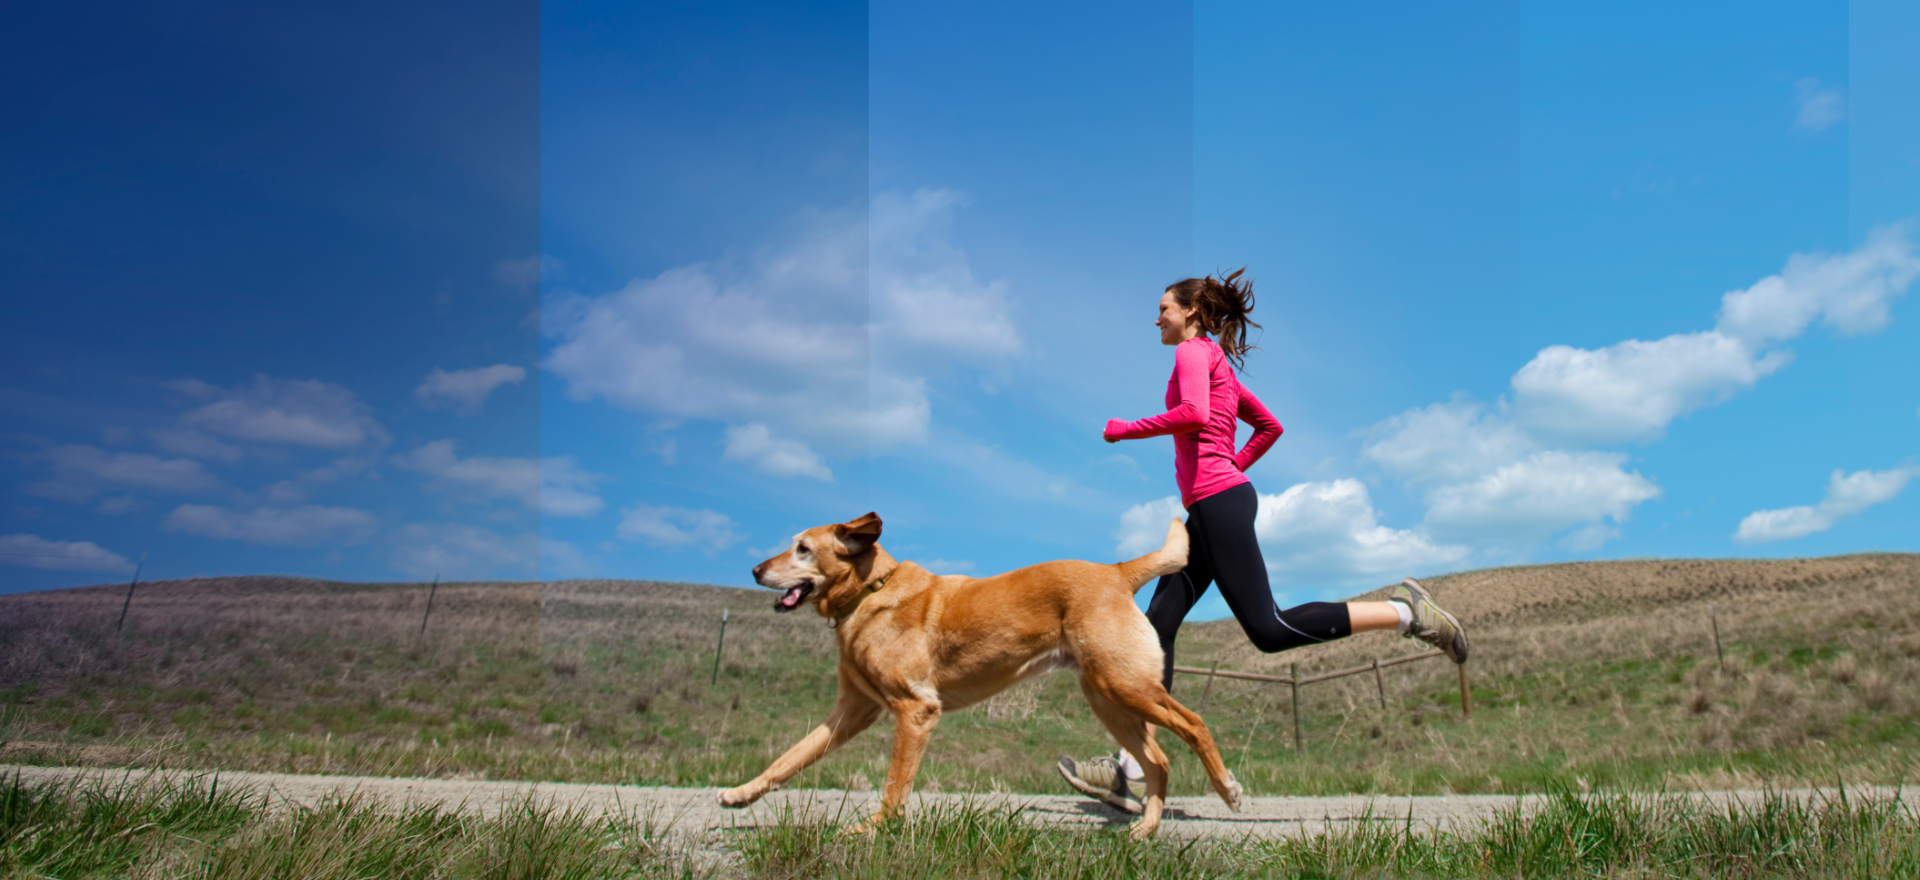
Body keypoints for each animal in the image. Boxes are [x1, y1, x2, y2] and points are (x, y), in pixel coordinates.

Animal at [721, 514, 1244, 837]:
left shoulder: (915, 711)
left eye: (803, 549)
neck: (872, 591)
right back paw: (1146, 828)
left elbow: (894, 786)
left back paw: (1226, 789)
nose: (754, 569)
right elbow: (788, 760)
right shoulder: (851, 712)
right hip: (1108, 700)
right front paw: (741, 795)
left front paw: (873, 832)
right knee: (1158, 761)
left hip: (1126, 687)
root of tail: (1117, 571)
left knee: (1193, 725)